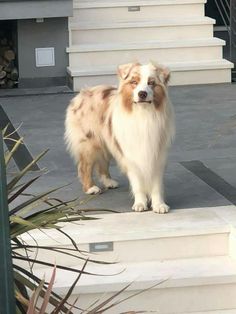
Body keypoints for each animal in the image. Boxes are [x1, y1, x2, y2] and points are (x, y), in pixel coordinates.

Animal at [65, 61, 174, 213]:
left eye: (151, 83)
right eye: (134, 82)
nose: (142, 93)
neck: (143, 114)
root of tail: (84, 93)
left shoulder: (157, 154)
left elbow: (156, 184)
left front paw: (159, 205)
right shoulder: (132, 154)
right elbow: (137, 183)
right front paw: (140, 203)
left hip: (106, 141)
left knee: (102, 163)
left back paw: (108, 182)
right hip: (90, 143)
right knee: (84, 166)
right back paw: (91, 188)